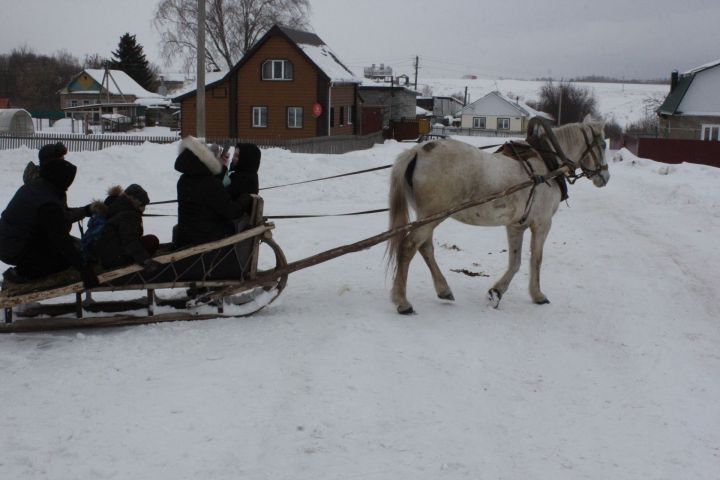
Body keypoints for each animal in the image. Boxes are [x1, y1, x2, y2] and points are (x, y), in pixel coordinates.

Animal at [388, 118, 608, 316]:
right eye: (604, 145)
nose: (605, 177)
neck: (548, 166)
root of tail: (417, 151)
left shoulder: (516, 225)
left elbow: (515, 261)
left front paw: (496, 291)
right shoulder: (542, 223)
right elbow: (536, 259)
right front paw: (537, 295)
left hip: (426, 216)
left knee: (425, 247)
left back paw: (443, 290)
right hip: (432, 216)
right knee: (408, 247)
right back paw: (402, 302)